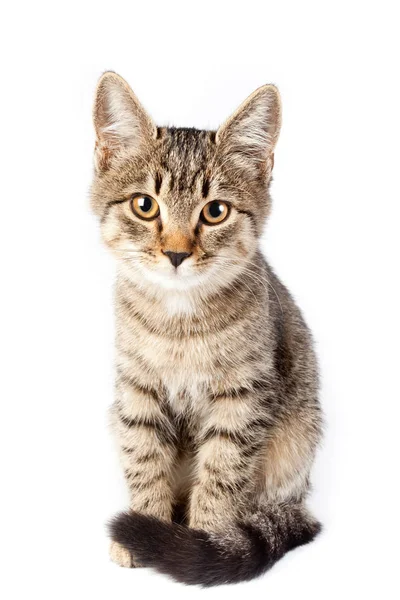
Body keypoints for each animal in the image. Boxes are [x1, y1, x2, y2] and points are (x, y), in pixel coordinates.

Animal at [90, 71, 322, 584]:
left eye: (215, 211)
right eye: (144, 205)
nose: (176, 253)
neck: (178, 322)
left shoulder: (243, 398)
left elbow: (222, 473)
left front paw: (205, 540)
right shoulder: (136, 391)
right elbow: (144, 459)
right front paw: (145, 527)